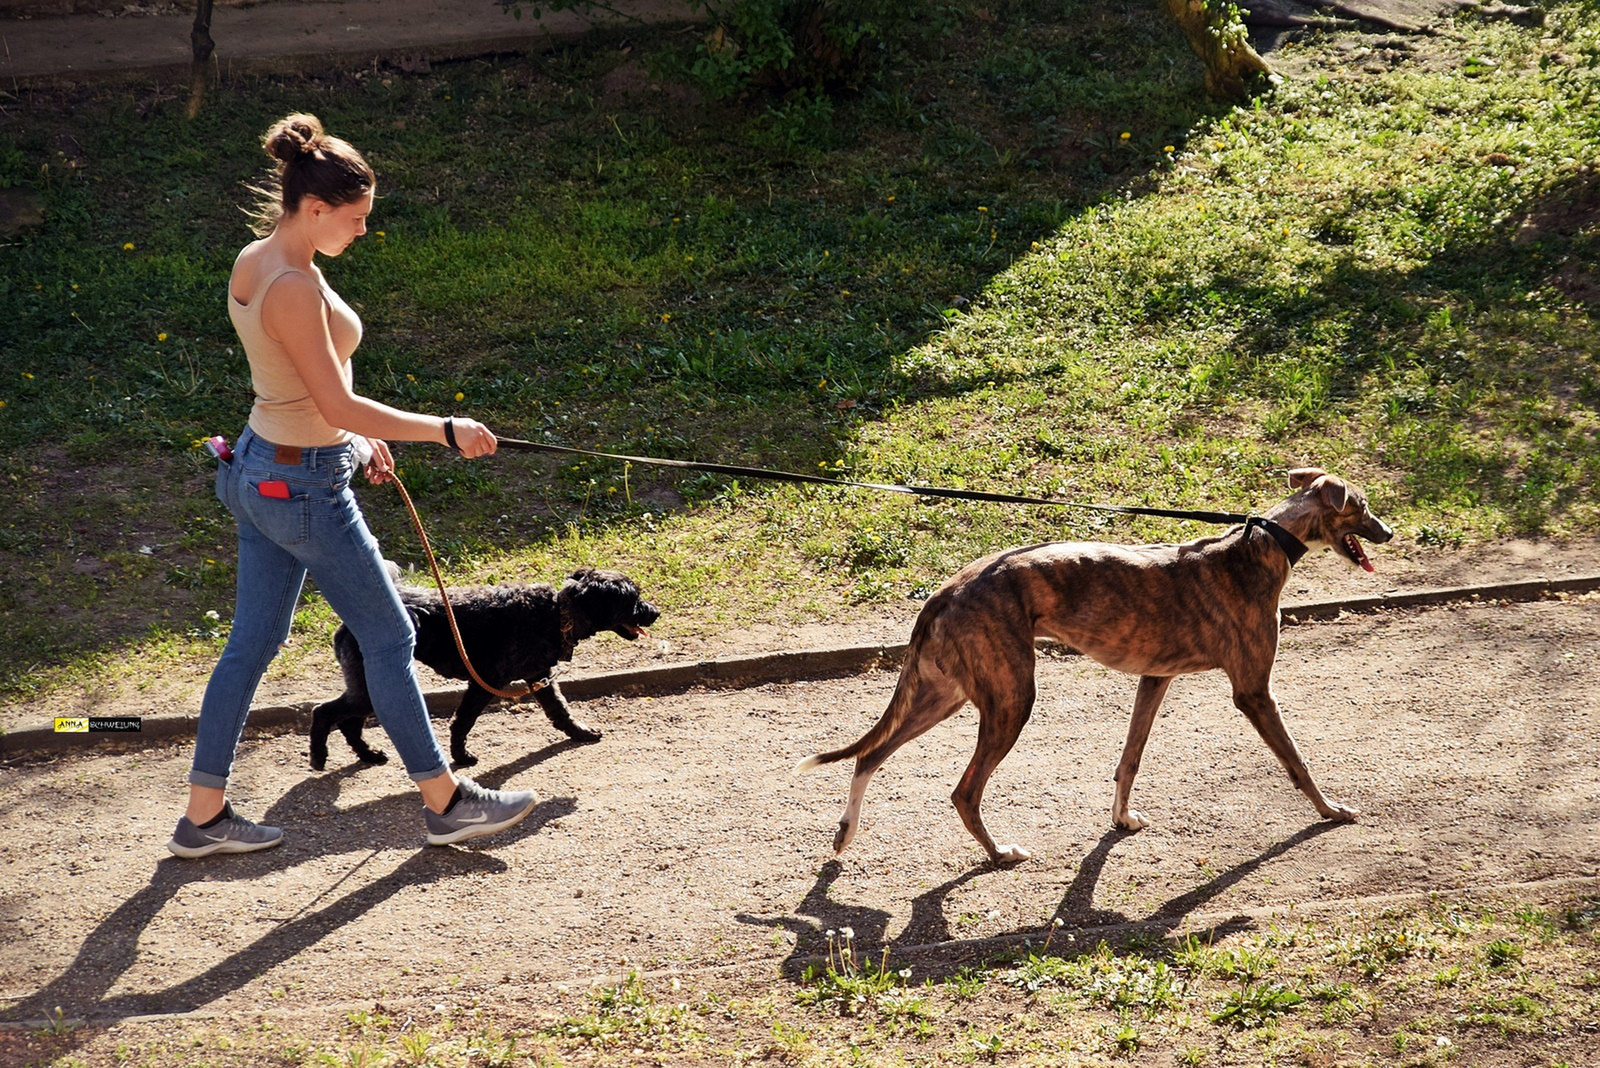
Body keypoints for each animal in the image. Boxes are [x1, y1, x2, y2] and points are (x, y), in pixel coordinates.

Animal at [308, 565, 659, 767]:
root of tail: (348, 624)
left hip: (371, 687)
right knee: (323, 711)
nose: (655, 612)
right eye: (632, 599)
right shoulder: (484, 682)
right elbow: (463, 722)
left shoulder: (539, 677)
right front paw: (460, 757)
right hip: (373, 687)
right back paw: (318, 756)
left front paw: (580, 733)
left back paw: (368, 754)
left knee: (349, 722)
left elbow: (560, 710)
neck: (557, 612)